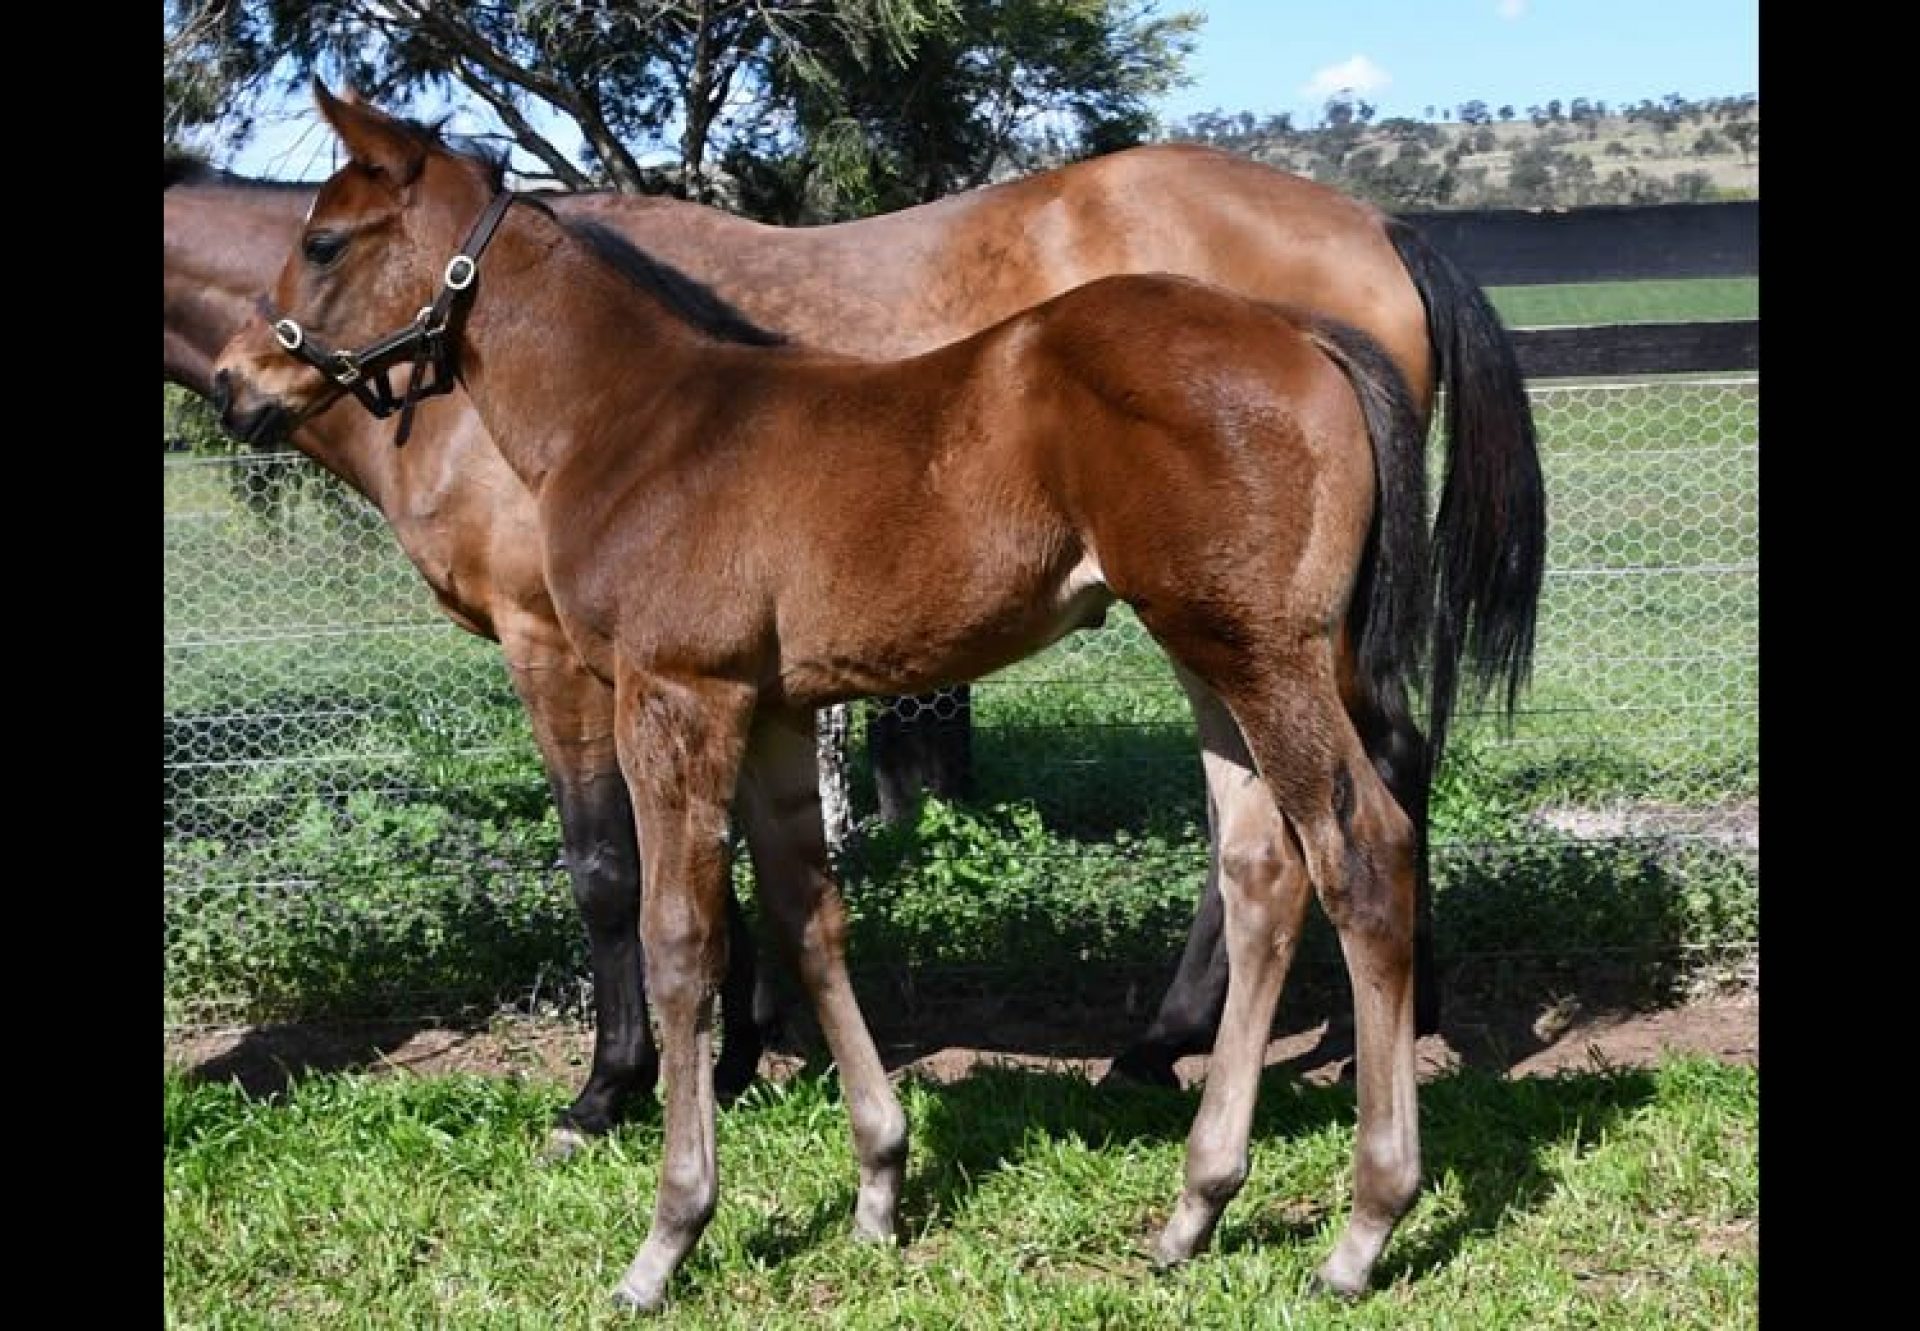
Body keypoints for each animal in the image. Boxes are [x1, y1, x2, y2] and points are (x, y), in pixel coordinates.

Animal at [211, 84, 1545, 1311]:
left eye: (324, 241)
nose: (235, 382)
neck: (640, 418)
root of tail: (1310, 334)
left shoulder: (673, 691)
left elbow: (678, 937)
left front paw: (666, 1233)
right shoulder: (773, 705)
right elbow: (812, 914)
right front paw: (877, 1184)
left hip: (1266, 652)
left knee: (1360, 849)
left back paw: (1365, 1225)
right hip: (1210, 652)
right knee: (1262, 868)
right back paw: (1194, 1205)